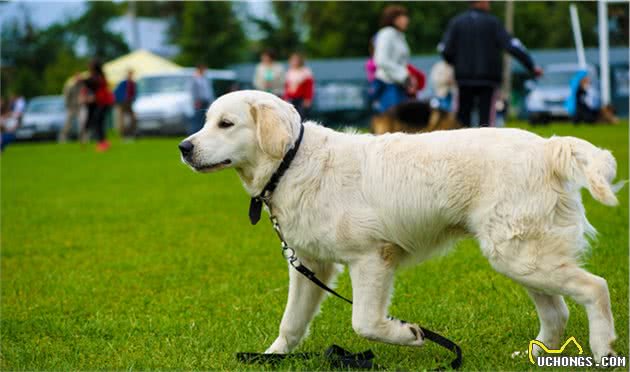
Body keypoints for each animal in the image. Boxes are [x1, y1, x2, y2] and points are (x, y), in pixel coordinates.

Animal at [179, 89, 624, 360]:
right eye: (206, 121)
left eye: (225, 124)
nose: (184, 147)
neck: (291, 162)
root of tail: (548, 146)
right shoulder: (311, 266)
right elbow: (290, 323)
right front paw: (272, 357)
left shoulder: (370, 258)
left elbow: (364, 323)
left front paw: (407, 334)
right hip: (520, 256)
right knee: (558, 313)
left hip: (520, 256)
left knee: (595, 288)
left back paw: (603, 349)